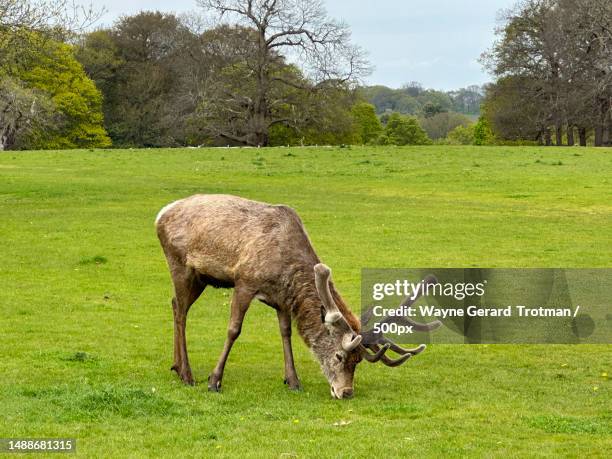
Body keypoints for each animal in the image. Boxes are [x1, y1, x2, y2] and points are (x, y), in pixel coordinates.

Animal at [155, 194, 438, 398]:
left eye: (358, 361)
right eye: (339, 356)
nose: (346, 392)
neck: (285, 266)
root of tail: (161, 214)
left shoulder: (282, 298)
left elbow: (286, 332)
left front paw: (293, 380)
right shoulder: (244, 281)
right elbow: (234, 330)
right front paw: (214, 381)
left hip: (201, 278)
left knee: (175, 305)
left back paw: (176, 366)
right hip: (180, 264)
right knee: (181, 311)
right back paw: (187, 374)